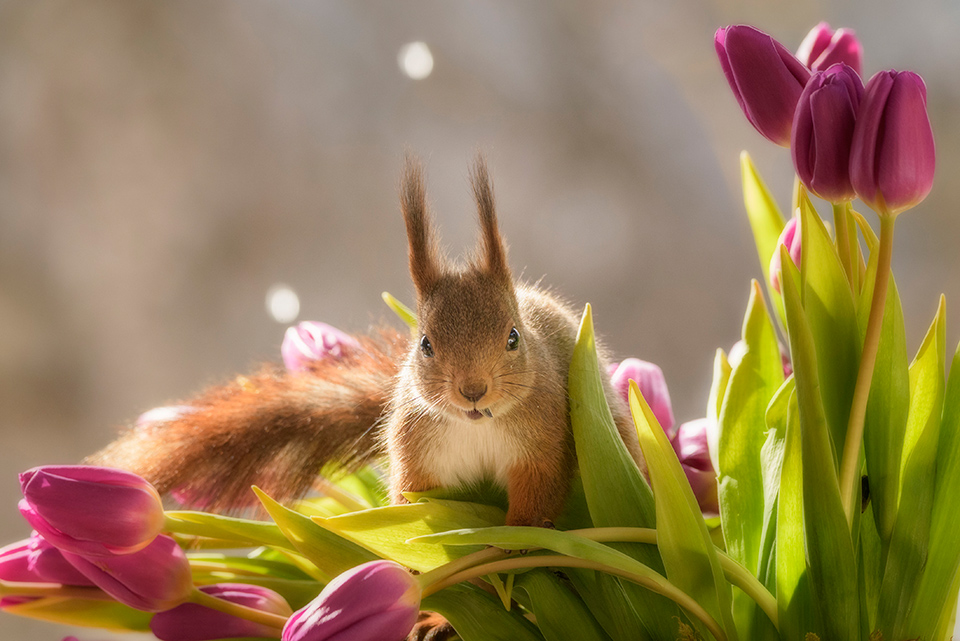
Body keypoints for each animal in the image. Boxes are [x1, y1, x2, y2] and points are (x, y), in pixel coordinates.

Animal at [88, 156, 644, 528]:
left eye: (513, 337)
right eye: (425, 344)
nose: (473, 391)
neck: (476, 426)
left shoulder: (542, 447)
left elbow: (532, 512)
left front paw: (514, 555)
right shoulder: (420, 463)